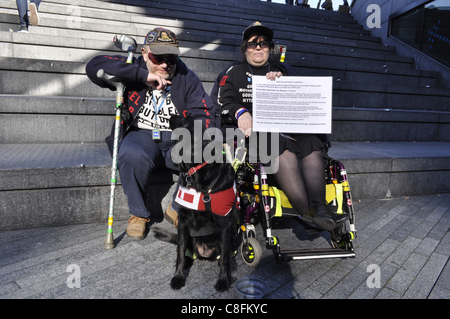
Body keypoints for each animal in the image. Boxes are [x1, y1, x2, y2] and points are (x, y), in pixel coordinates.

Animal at [154, 114, 241, 292]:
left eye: (185, 119)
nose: (171, 115)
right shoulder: (183, 221)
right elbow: (180, 252)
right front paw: (178, 277)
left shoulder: (225, 223)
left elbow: (224, 258)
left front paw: (223, 280)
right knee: (185, 251)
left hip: (235, 233)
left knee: (226, 254)